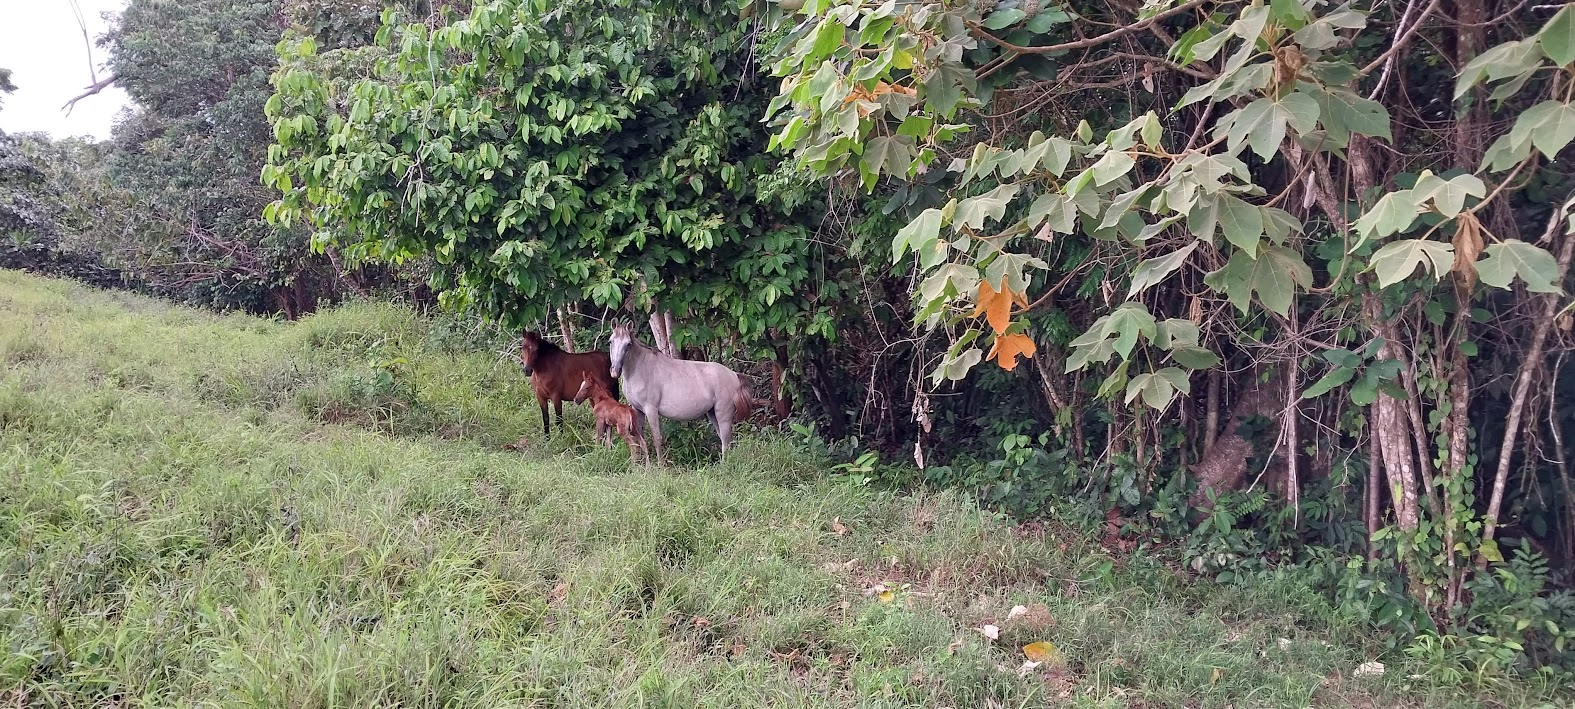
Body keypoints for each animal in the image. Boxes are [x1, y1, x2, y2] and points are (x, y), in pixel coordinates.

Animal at [604, 319, 752, 463]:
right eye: (611, 341)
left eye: (628, 344)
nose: (615, 371)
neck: (640, 368)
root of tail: (734, 375)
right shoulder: (637, 410)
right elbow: (640, 440)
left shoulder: (651, 410)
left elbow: (657, 439)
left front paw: (660, 467)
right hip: (712, 413)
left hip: (723, 415)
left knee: (726, 442)